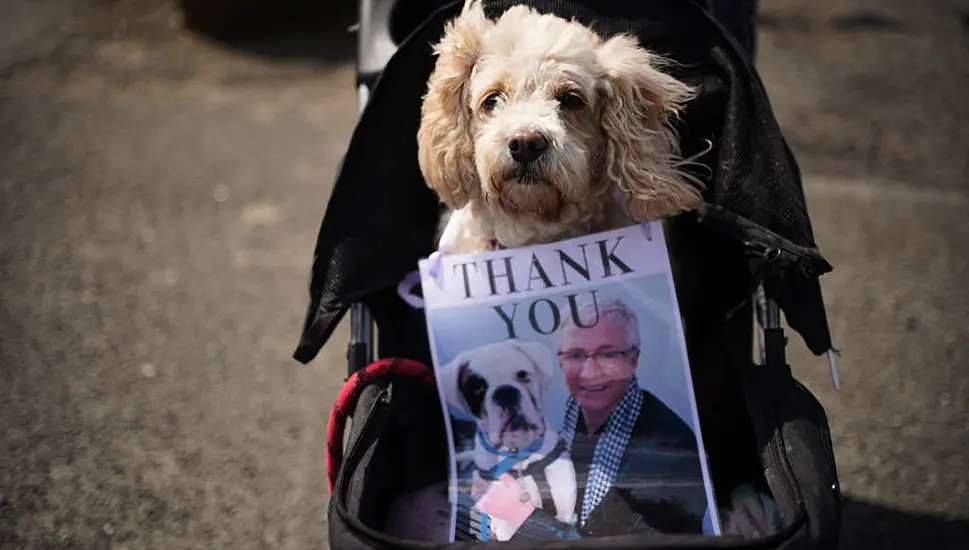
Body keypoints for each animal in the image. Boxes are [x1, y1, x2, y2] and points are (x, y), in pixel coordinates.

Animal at [436, 340, 576, 544]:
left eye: (523, 375)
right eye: (477, 388)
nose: (505, 392)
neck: (515, 449)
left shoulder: (558, 467)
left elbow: (564, 503)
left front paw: (567, 521)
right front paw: (503, 526)